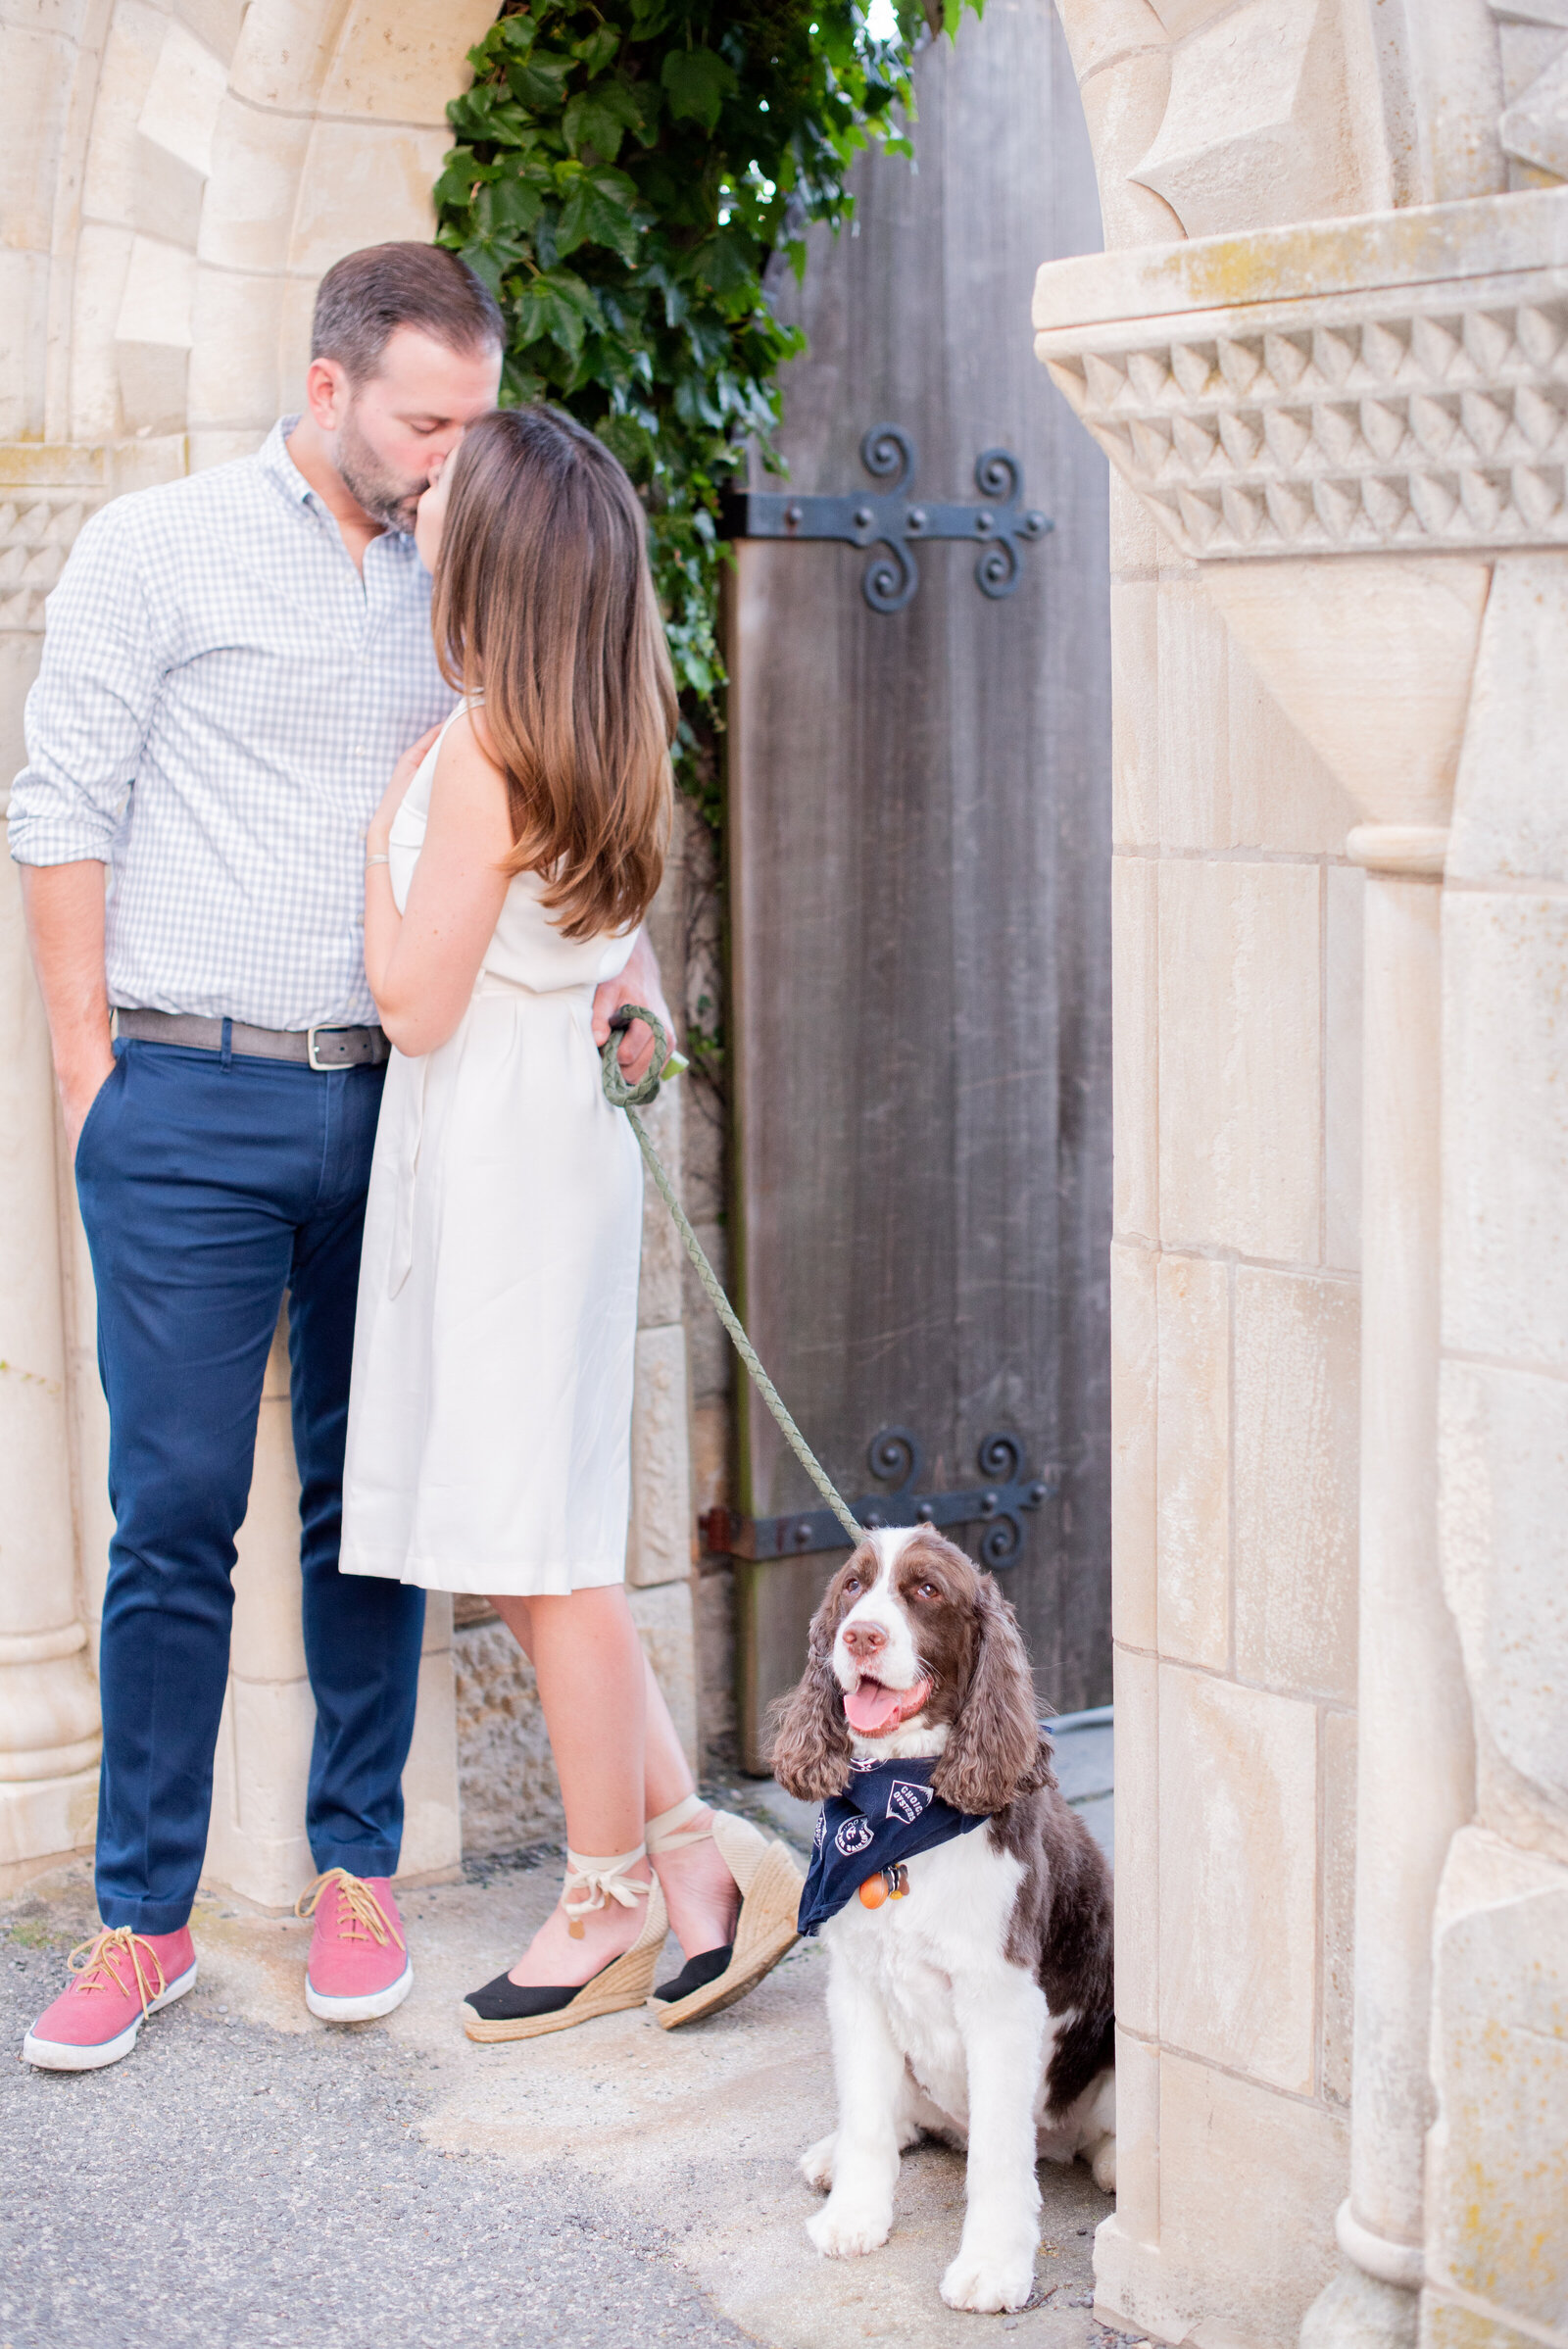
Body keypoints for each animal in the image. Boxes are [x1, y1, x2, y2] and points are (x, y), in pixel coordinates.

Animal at [769, 1522, 1112, 2311]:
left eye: (925, 1589)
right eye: (853, 1586)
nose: (860, 1635)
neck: (898, 1811)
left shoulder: (1000, 1999)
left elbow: (997, 2154)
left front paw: (992, 2265)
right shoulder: (857, 1986)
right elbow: (867, 2116)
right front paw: (855, 2216)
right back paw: (834, 2154)